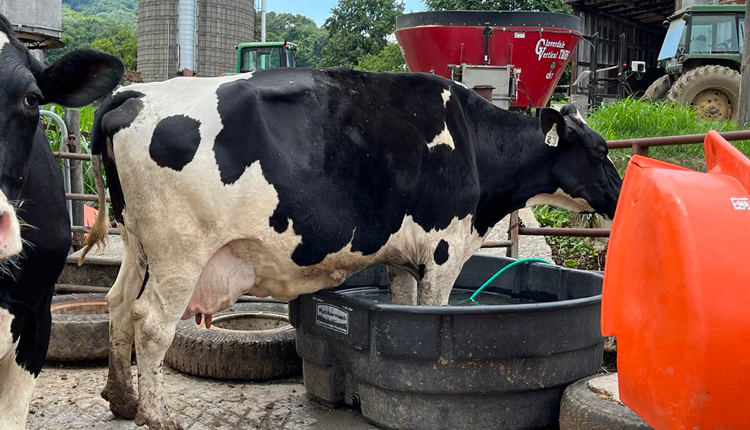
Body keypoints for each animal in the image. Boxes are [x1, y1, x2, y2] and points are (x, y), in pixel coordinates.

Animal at [82, 68, 621, 429]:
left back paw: (120, 398)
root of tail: (132, 94)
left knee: (117, 304)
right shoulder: (445, 249)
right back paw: (156, 414)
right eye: (600, 151)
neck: (473, 141)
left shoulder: (405, 258)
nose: (621, 196)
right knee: (151, 322)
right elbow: (435, 310)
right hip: (180, 250)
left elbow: (405, 308)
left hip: (137, 244)